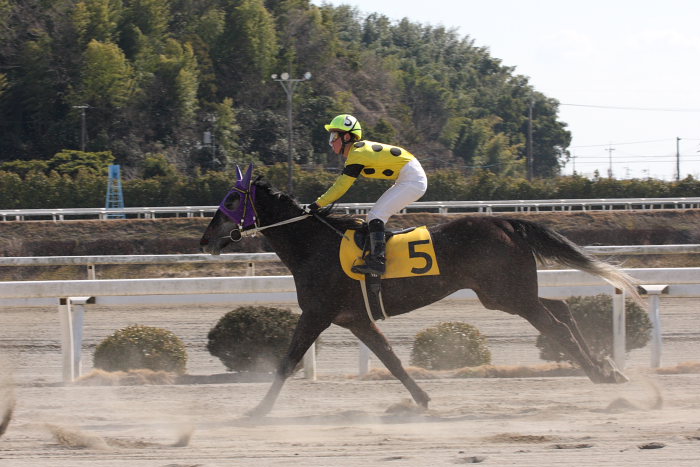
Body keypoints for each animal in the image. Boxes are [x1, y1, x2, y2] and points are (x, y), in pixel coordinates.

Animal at [200, 167, 636, 416]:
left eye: (233, 198)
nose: (206, 239)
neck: (314, 246)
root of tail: (506, 223)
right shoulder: (354, 319)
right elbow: (390, 359)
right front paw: (422, 400)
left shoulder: (317, 314)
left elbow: (287, 362)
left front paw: (257, 411)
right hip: (506, 293)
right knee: (561, 308)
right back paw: (607, 369)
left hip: (509, 296)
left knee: (554, 326)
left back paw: (601, 374)